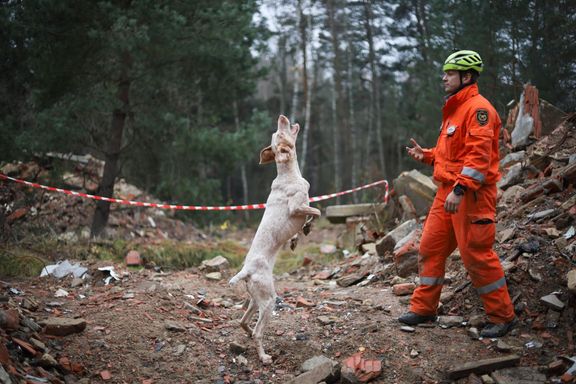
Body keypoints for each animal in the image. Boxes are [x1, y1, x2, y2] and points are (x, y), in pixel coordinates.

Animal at [228, 115, 320, 366]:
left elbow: (312, 215)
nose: (282, 117)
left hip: (255, 300)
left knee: (243, 322)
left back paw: (248, 334)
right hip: (269, 301)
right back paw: (264, 356)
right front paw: (307, 227)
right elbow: (316, 211)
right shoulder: (297, 207)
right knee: (259, 332)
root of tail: (246, 271)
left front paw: (297, 238)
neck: (288, 173)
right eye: (279, 134)